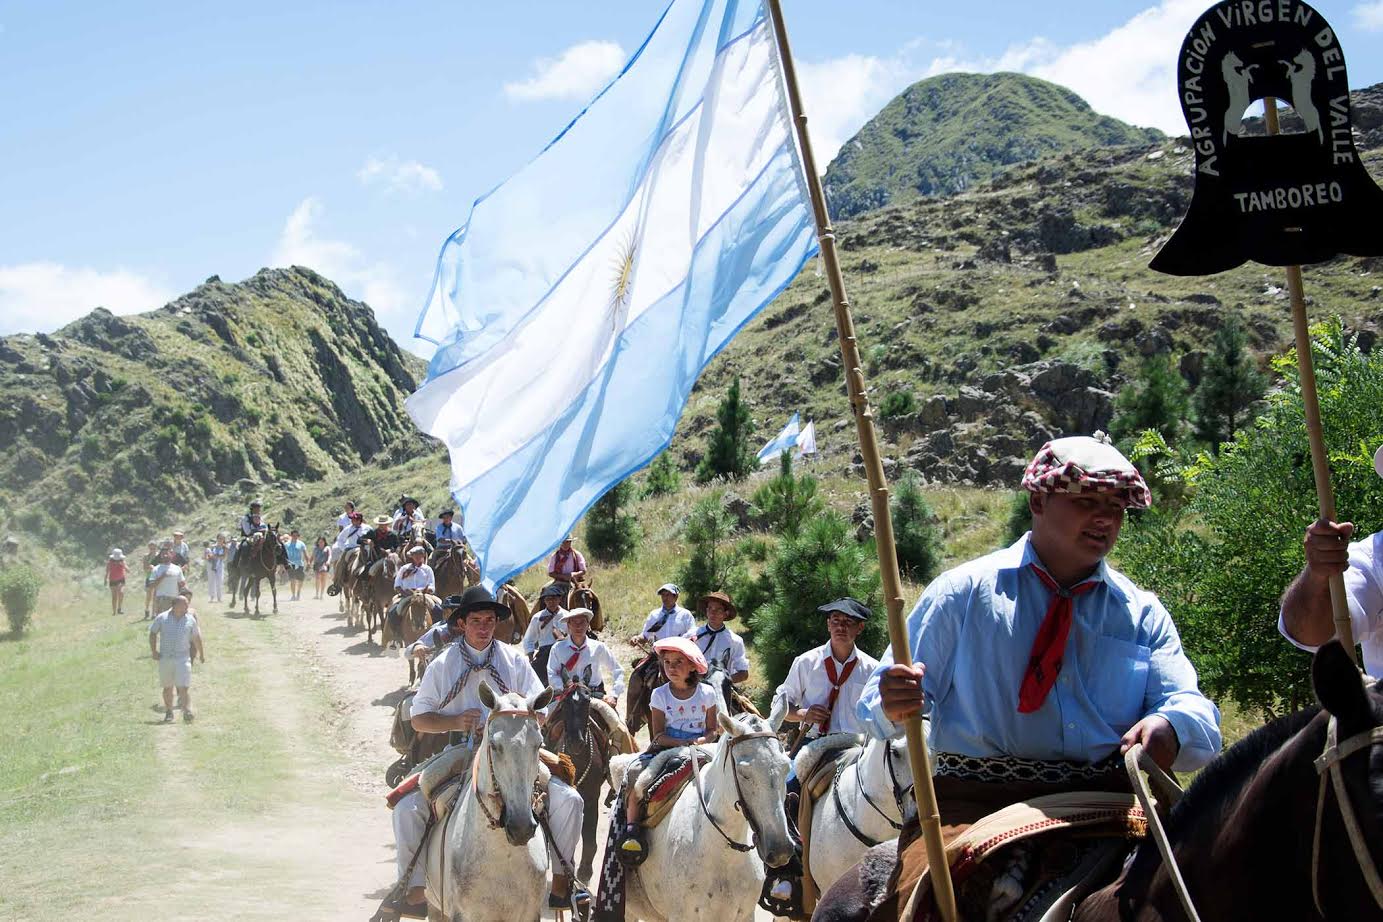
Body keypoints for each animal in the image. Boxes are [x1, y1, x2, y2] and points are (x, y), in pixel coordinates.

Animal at [423, 682, 553, 922]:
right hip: (433, 904)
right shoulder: (463, 914)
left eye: (539, 744)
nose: (520, 828)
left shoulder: (531, 914)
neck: (502, 854)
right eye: (494, 745)